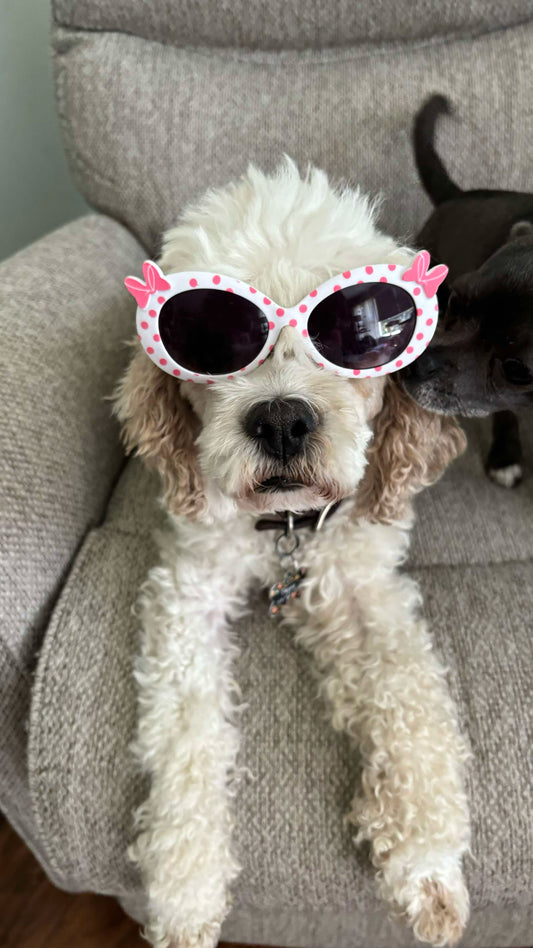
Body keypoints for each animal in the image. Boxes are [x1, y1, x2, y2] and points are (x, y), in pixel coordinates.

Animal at [113, 161, 470, 948]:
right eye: (207, 336)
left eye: (360, 334)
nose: (280, 420)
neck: (280, 527)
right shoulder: (187, 594)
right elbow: (185, 739)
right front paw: (184, 893)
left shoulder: (363, 585)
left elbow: (411, 706)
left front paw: (427, 863)